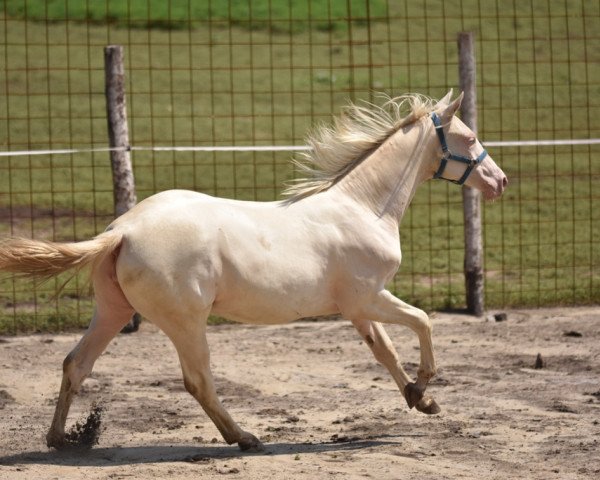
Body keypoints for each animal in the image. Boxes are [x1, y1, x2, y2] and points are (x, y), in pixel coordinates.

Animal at [0, 91, 506, 454]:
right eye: (468, 137)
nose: (500, 181)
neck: (363, 207)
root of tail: (122, 230)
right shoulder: (368, 296)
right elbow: (423, 321)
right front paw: (424, 387)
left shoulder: (356, 307)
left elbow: (384, 351)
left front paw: (421, 400)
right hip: (186, 322)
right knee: (198, 380)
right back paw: (244, 438)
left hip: (113, 311)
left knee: (76, 363)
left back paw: (62, 440)